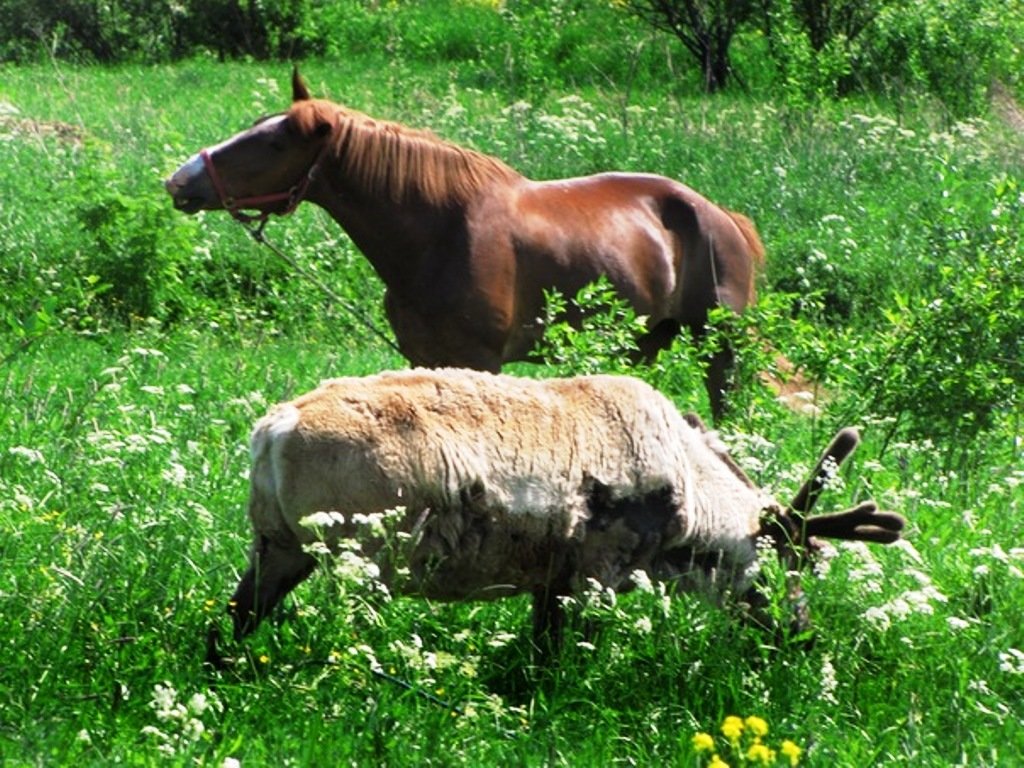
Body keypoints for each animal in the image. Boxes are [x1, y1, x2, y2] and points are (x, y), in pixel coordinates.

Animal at [163, 70, 765, 421]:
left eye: (272, 142)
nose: (180, 181)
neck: (440, 233)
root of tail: (721, 218)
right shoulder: (424, 358)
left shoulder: (480, 362)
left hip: (720, 346)